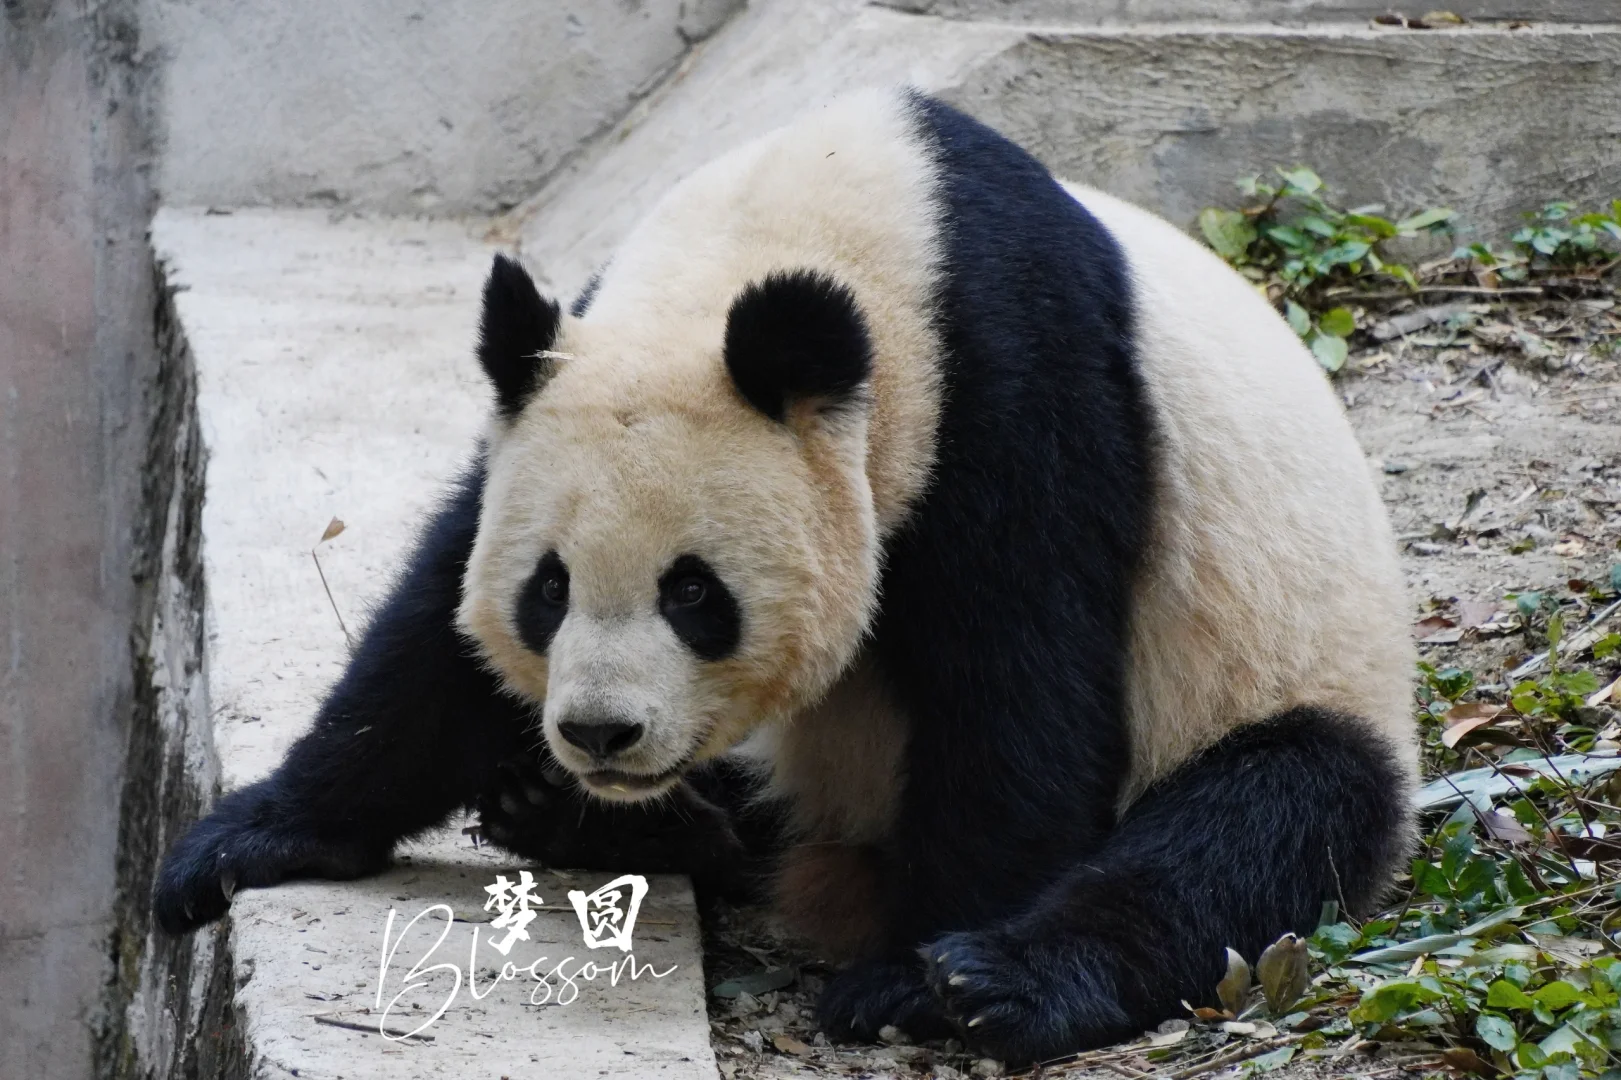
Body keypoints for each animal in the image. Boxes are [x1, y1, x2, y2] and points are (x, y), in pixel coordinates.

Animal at [155, 88, 1416, 1064]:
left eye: (693, 593)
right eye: (547, 589)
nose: (599, 734)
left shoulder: (1020, 386)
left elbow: (1022, 688)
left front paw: (920, 980)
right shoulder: (562, 369)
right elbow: (431, 628)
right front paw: (249, 840)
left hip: (1287, 680)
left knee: (1260, 819)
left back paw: (1012, 976)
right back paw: (598, 823)